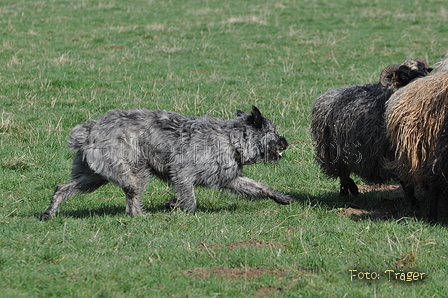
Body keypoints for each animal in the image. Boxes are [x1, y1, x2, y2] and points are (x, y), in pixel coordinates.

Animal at [40, 105, 292, 219]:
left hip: (94, 177)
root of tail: (90, 130)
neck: (231, 139)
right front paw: (176, 205)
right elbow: (190, 200)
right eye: (273, 131)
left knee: (61, 188)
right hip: (130, 174)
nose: (286, 142)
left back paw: (49, 212)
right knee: (131, 197)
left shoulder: (230, 179)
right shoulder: (182, 174)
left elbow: (259, 187)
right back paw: (139, 216)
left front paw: (279, 197)